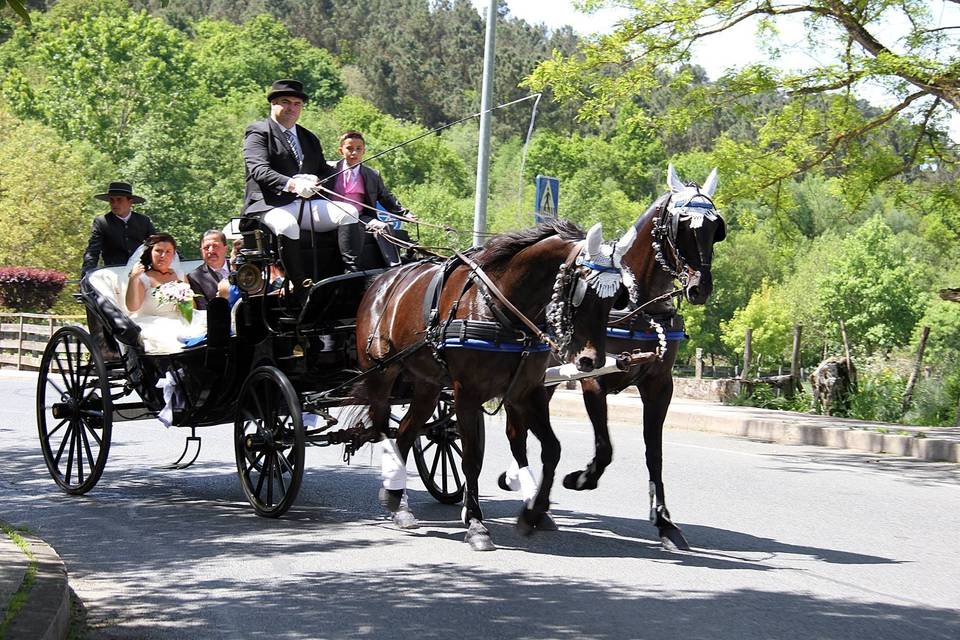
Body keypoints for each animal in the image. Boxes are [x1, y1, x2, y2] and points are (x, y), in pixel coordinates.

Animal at [350, 220, 632, 552]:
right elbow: (471, 459)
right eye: (583, 291)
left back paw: (397, 501)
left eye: (614, 298)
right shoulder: (467, 394)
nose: (591, 360)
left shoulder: (528, 392)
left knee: (405, 433)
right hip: (381, 375)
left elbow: (551, 449)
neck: (501, 309)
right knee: (383, 430)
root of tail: (382, 281)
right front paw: (476, 525)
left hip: (427, 386)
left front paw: (532, 513)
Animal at [498, 165, 724, 552]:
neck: (637, 306)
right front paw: (580, 478)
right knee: (517, 432)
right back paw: (529, 497)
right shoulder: (593, 378)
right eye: (682, 226)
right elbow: (604, 447)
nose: (700, 287)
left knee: (524, 431)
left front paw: (665, 522)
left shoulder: (659, 386)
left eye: (715, 229)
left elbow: (654, 453)